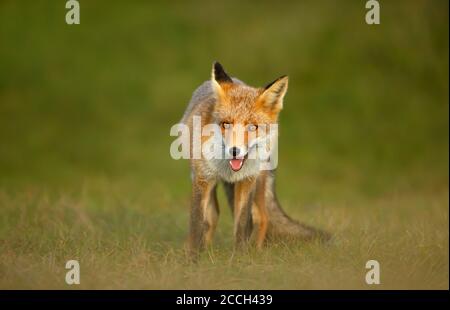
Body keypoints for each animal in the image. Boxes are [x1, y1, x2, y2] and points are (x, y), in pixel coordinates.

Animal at [180, 61, 330, 258]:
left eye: (253, 127)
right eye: (226, 124)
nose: (234, 151)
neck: (228, 171)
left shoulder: (247, 180)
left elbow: (242, 224)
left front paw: (238, 259)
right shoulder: (202, 179)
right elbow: (197, 223)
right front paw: (193, 258)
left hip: (258, 181)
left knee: (261, 217)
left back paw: (256, 253)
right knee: (213, 215)